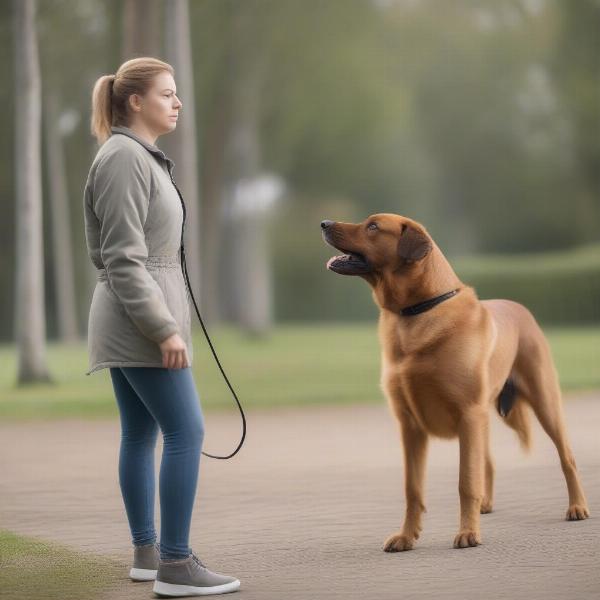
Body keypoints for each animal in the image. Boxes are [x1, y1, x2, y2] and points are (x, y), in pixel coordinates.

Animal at [322, 213, 588, 552]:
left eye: (373, 226)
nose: (324, 223)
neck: (416, 311)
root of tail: (519, 307)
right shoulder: (410, 424)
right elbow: (413, 488)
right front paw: (407, 536)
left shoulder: (467, 413)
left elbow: (466, 481)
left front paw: (468, 533)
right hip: (484, 417)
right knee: (489, 461)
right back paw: (485, 504)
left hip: (544, 401)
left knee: (567, 457)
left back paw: (577, 506)